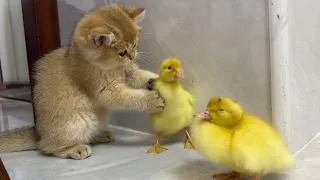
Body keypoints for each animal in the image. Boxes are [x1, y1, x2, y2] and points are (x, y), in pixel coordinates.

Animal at [0, 3, 165, 159]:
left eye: (136, 44)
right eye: (122, 52)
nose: (133, 56)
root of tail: (38, 134)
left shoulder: (129, 72)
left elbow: (141, 75)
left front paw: (156, 79)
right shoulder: (106, 90)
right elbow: (130, 98)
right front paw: (152, 99)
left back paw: (100, 135)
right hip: (78, 123)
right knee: (46, 147)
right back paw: (75, 149)